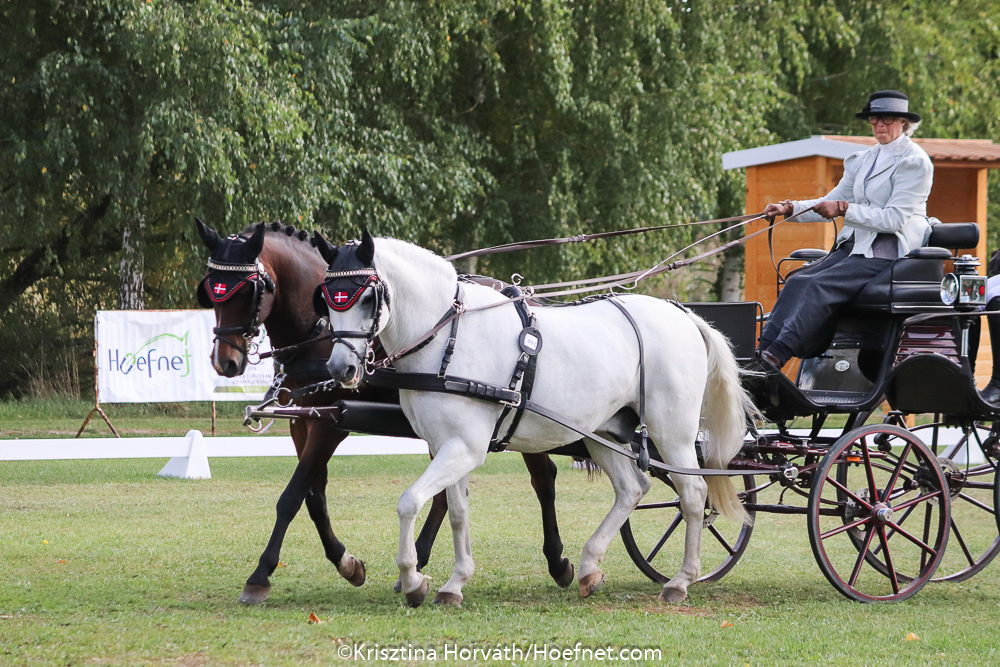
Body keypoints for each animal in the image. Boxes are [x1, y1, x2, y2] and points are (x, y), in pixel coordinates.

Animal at [194, 220, 575, 603]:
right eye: (211, 291)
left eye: (248, 291)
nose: (225, 362)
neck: (319, 331)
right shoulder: (303, 420)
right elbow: (313, 496)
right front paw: (347, 563)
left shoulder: (332, 423)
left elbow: (292, 495)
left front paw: (260, 576)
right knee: (446, 494)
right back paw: (420, 560)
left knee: (543, 479)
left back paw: (557, 562)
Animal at [314, 230, 756, 606]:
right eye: (328, 300)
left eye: (367, 298)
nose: (340, 368)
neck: (447, 338)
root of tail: (682, 315)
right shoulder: (447, 446)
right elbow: (457, 513)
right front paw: (455, 582)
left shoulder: (465, 448)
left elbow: (409, 502)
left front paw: (411, 580)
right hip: (604, 432)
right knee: (633, 488)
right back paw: (590, 567)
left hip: (673, 433)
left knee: (693, 495)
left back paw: (680, 581)